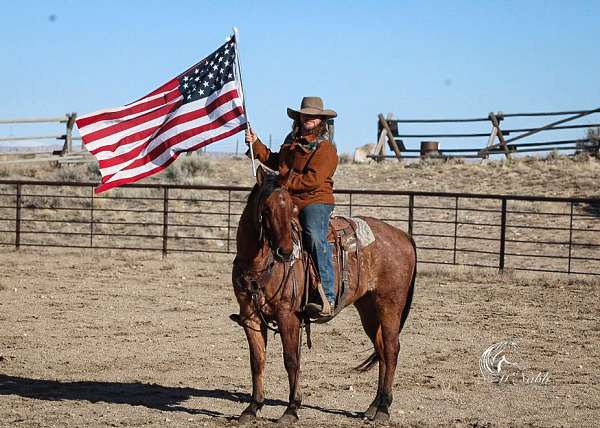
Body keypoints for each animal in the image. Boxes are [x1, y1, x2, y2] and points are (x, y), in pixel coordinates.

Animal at [231, 168, 418, 424]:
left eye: (292, 209)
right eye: (266, 209)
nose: (286, 252)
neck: (258, 264)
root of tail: (403, 236)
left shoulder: (288, 316)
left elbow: (292, 360)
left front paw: (291, 409)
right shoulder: (250, 316)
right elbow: (257, 361)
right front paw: (252, 407)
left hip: (390, 304)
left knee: (391, 350)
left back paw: (384, 409)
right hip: (368, 309)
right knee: (381, 350)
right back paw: (373, 406)